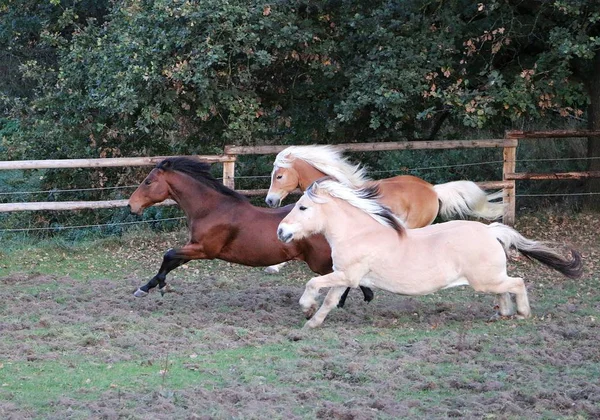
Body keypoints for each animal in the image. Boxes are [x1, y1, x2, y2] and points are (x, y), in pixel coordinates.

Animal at [126, 158, 376, 302]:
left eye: (148, 181)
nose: (131, 206)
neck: (212, 208)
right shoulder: (195, 246)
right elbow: (171, 261)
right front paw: (151, 286)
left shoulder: (204, 249)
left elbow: (168, 255)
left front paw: (154, 287)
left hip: (319, 261)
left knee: (346, 278)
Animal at [278, 177, 584, 328]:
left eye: (303, 207)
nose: (281, 231)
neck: (360, 233)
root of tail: (491, 231)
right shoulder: (345, 277)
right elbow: (330, 301)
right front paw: (312, 321)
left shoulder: (347, 275)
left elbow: (313, 284)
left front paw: (306, 308)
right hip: (489, 280)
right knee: (504, 292)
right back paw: (502, 315)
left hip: (485, 280)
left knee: (517, 283)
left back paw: (521, 314)